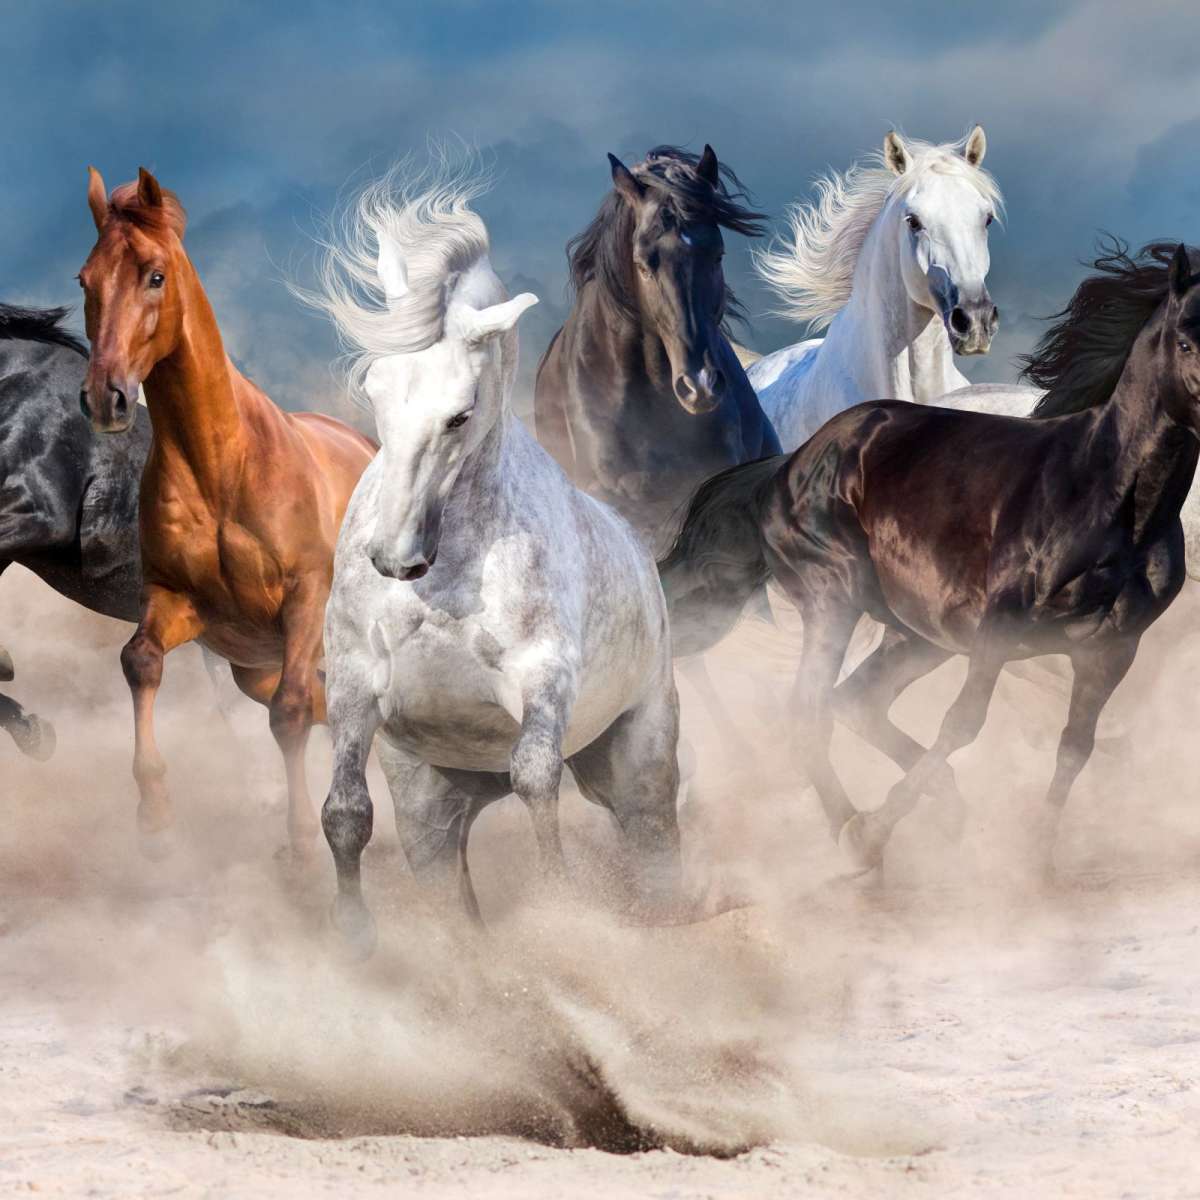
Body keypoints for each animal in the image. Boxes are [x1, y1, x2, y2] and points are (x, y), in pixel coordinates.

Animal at [77, 167, 376, 857]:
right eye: (85, 280)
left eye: (155, 275)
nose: (105, 397)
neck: (222, 466)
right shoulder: (183, 604)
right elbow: (140, 661)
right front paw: (154, 811)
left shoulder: (304, 601)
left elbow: (291, 713)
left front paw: (301, 845)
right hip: (252, 668)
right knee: (332, 708)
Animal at [303, 165, 682, 950]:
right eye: (374, 389)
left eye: (459, 413)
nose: (396, 558)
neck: (445, 581)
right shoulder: (354, 682)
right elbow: (345, 813)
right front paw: (354, 939)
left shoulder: (542, 681)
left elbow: (536, 782)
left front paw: (561, 912)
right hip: (433, 801)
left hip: (639, 757)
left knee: (655, 846)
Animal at [660, 241, 1200, 882]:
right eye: (1186, 341)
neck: (1107, 497)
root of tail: (789, 464)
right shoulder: (999, 630)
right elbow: (962, 723)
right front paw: (874, 832)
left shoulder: (1112, 651)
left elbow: (1075, 746)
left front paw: (1037, 858)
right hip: (834, 600)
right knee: (810, 711)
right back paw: (854, 833)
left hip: (919, 633)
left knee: (856, 701)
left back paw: (945, 808)